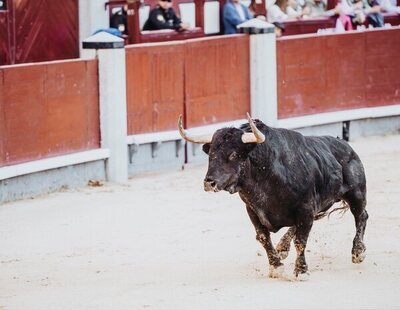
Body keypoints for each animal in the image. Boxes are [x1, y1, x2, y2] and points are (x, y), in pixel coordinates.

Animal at [179, 114, 368, 278]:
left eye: (233, 154)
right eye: (211, 154)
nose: (209, 183)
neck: (267, 176)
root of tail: (347, 146)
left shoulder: (305, 208)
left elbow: (300, 240)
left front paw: (301, 271)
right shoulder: (253, 210)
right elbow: (263, 237)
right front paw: (276, 267)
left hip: (356, 194)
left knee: (361, 216)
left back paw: (358, 252)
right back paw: (282, 247)